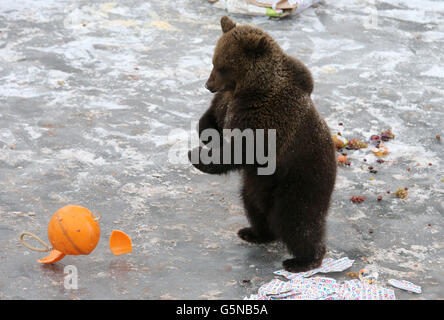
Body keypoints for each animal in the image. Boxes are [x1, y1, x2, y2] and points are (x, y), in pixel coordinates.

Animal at [187, 16, 336, 272]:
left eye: (223, 67)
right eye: (214, 61)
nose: (208, 85)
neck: (250, 89)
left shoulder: (267, 119)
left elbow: (244, 150)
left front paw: (197, 156)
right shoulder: (228, 104)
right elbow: (212, 118)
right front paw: (206, 136)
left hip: (302, 180)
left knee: (297, 220)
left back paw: (303, 260)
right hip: (256, 186)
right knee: (254, 208)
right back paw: (254, 232)